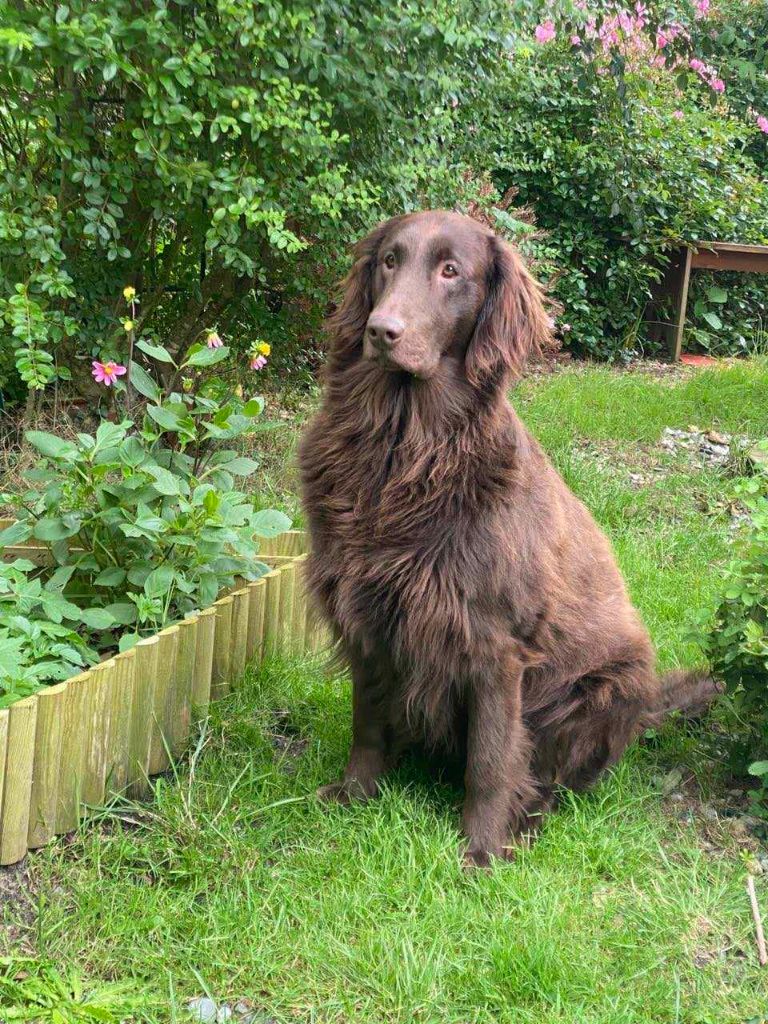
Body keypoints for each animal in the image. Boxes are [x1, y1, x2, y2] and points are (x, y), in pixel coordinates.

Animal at [299, 211, 716, 868]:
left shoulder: (493, 640)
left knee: (556, 774)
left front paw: (484, 849)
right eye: (389, 261)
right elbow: (366, 723)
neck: (403, 452)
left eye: (451, 271)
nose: (380, 331)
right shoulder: (365, 610)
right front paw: (354, 794)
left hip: (604, 686)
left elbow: (491, 758)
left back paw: (530, 817)